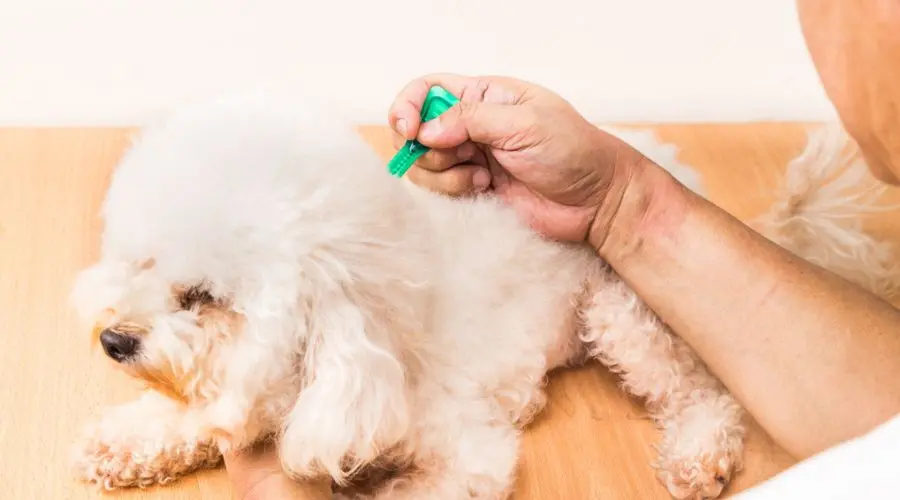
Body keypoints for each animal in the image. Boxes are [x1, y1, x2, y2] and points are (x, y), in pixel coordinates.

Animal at [72, 92, 900, 498]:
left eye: (202, 297)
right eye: (138, 261)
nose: (113, 341)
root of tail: (673, 168)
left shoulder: (465, 451)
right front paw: (129, 441)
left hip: (625, 311)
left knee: (705, 395)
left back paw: (699, 455)